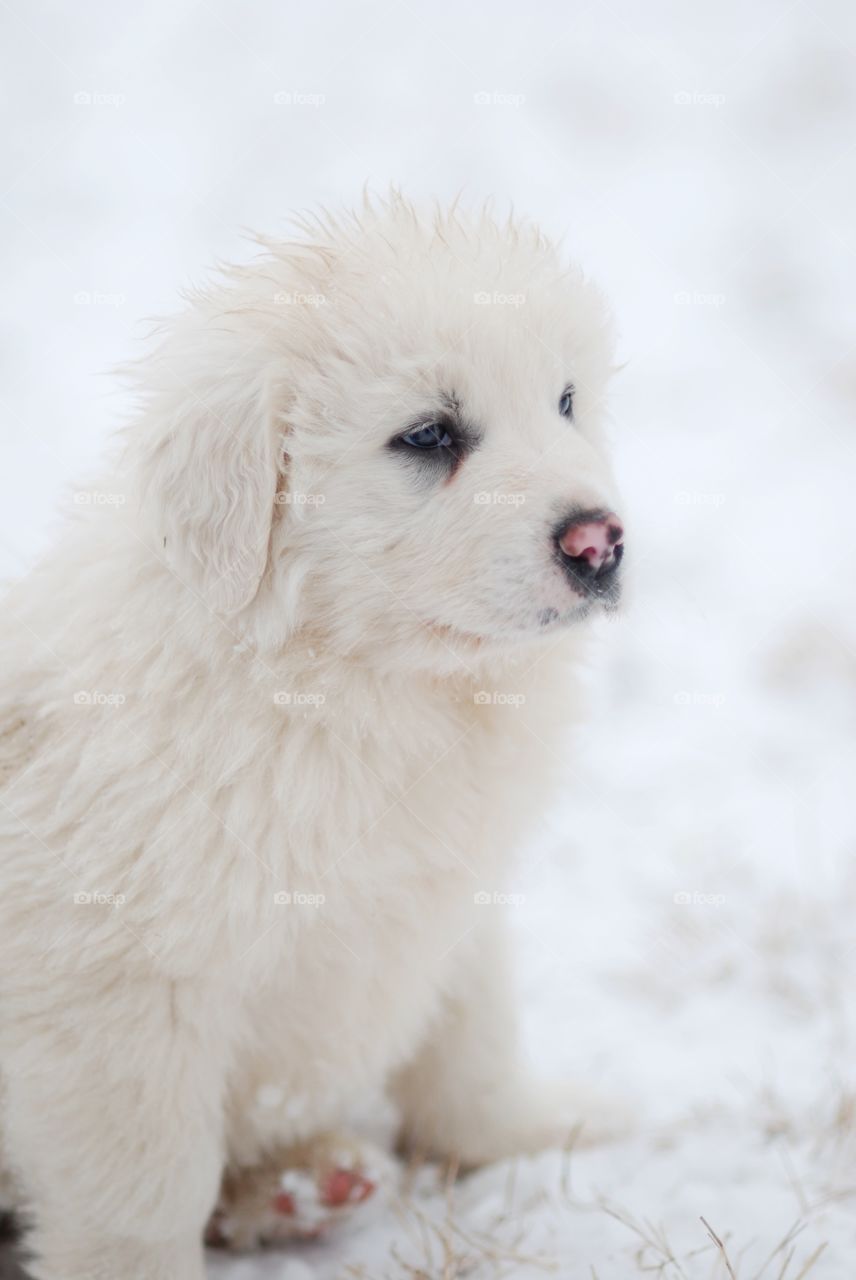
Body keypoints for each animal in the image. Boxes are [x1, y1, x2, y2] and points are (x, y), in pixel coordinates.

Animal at [3, 192, 624, 1280]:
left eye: (565, 401)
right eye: (428, 434)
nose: (600, 543)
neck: (360, 680)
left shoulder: (450, 894)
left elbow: (472, 1044)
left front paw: (538, 1128)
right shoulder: (111, 995)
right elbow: (143, 1193)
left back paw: (305, 1187)